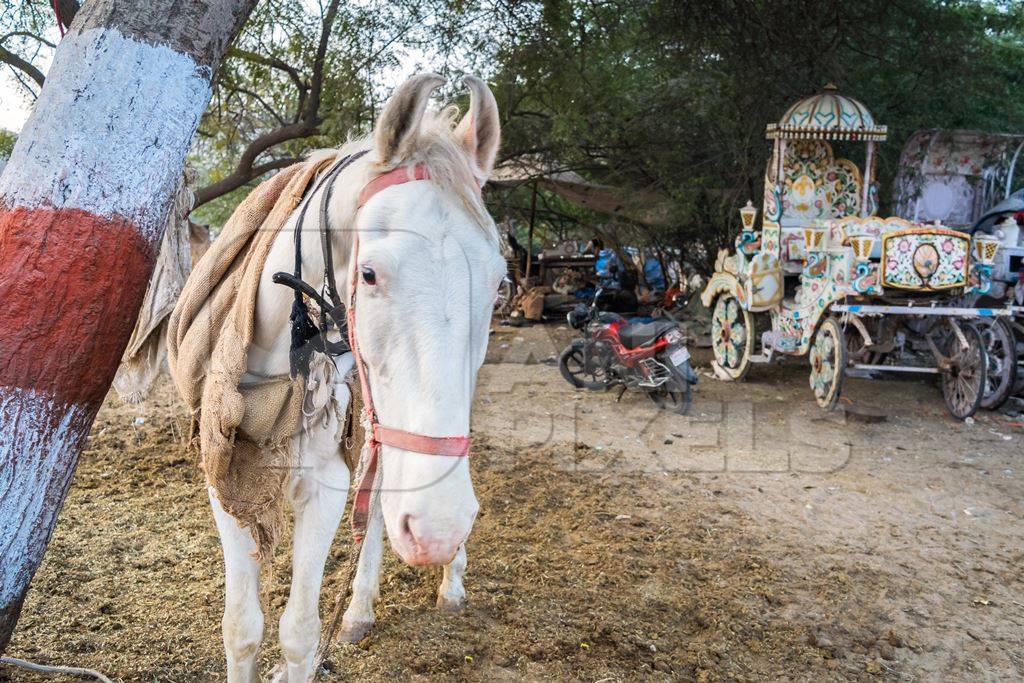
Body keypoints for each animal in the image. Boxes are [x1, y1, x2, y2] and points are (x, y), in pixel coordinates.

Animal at [210, 72, 503, 679]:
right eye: (368, 274)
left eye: (499, 286)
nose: (437, 531)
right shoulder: (225, 478)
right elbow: (241, 630)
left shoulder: (324, 485)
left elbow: (298, 634)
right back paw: (363, 606)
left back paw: (447, 582)